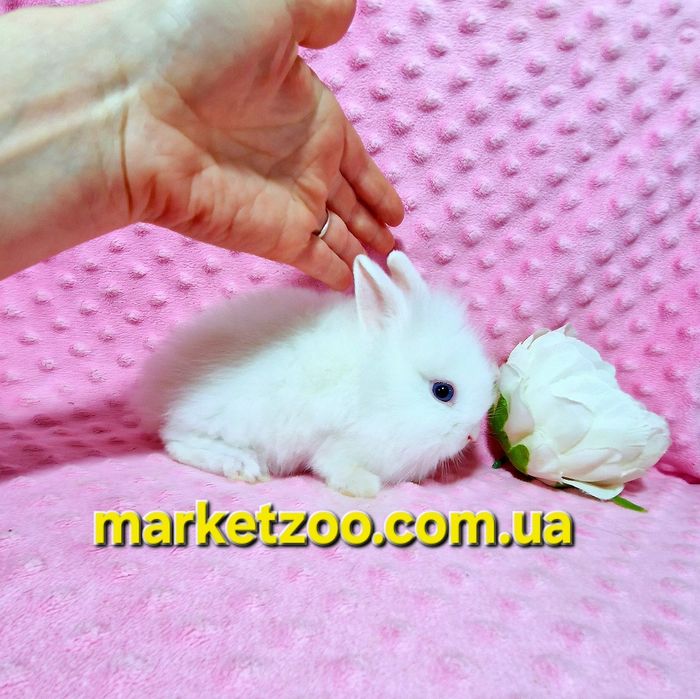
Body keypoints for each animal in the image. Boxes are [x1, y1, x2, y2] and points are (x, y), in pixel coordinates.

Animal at [136, 251, 498, 497]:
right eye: (443, 391)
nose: (471, 436)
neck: (379, 384)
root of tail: (159, 385)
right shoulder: (341, 443)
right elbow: (335, 467)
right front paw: (363, 486)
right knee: (176, 440)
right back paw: (242, 465)